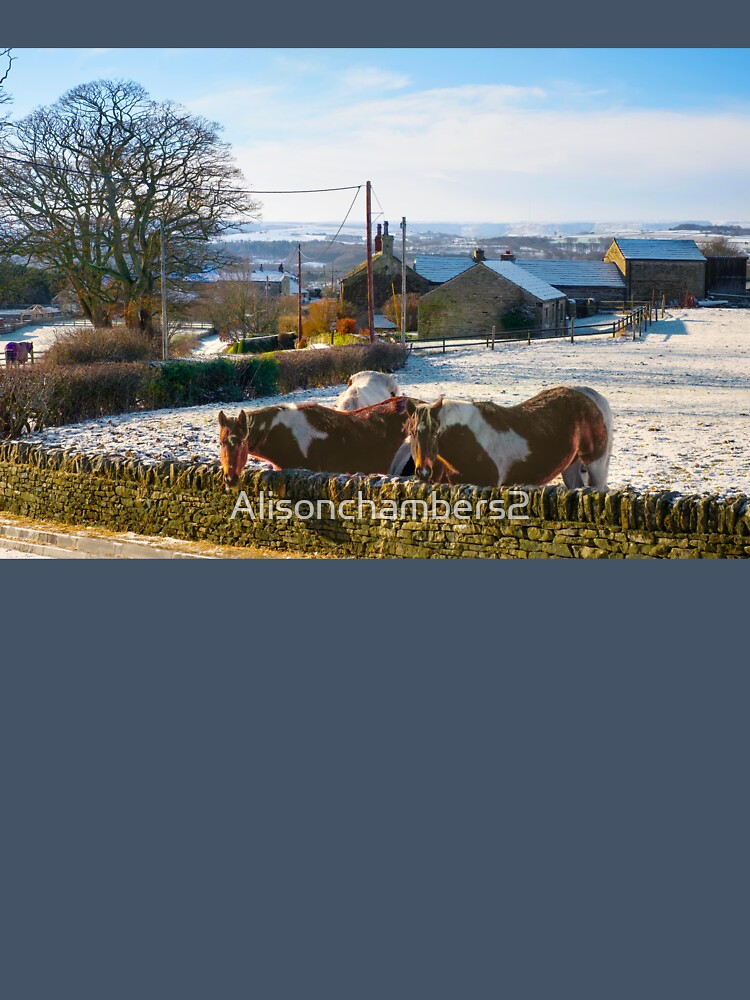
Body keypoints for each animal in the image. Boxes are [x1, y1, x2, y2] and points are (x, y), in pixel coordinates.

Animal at [395, 386, 613, 489]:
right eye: (412, 433)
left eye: (436, 432)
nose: (423, 471)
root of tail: (593, 396)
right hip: (571, 467)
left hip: (596, 465)